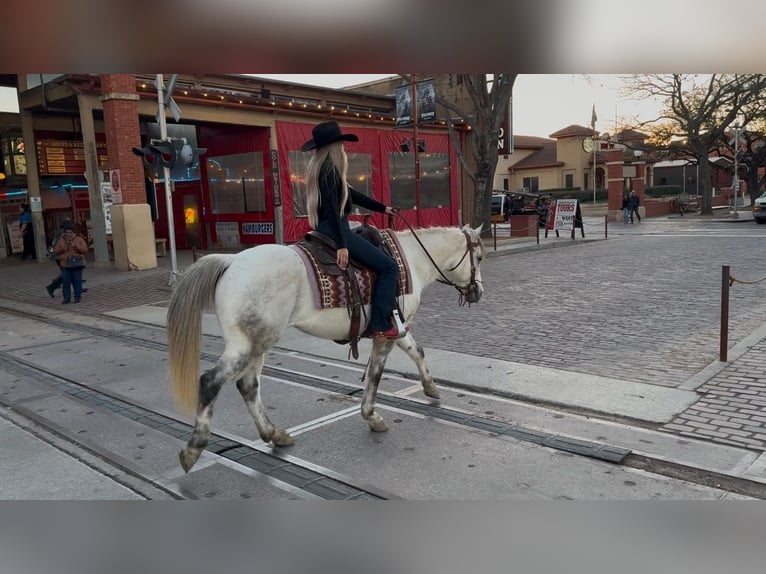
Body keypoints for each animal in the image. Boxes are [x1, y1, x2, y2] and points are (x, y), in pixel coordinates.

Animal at [171, 224, 488, 472]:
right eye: (480, 257)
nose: (478, 292)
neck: (411, 258)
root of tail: (232, 261)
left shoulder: (398, 327)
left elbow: (416, 351)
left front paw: (430, 388)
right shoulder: (387, 332)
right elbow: (375, 375)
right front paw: (371, 416)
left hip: (257, 344)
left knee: (248, 386)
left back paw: (274, 434)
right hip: (246, 346)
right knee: (210, 382)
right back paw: (194, 448)